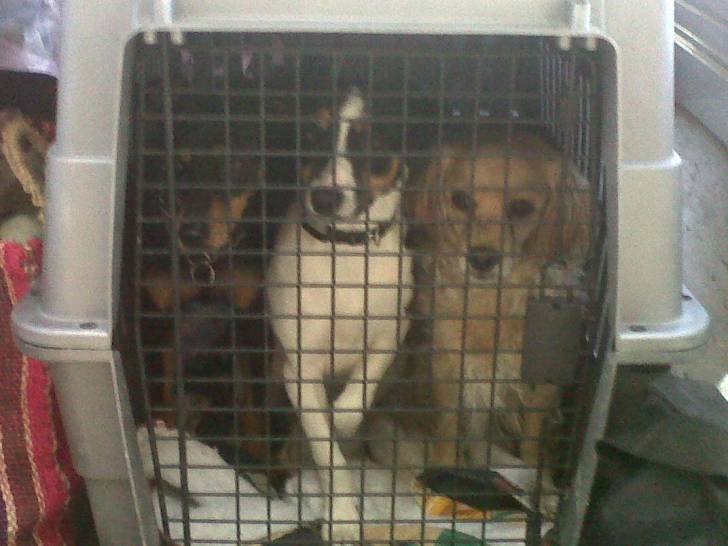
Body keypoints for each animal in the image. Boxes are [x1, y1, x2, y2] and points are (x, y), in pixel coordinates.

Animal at [267, 86, 414, 541]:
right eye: (312, 134)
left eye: (373, 143)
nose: (325, 198)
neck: (346, 253)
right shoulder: (299, 370)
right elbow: (329, 458)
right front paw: (345, 519)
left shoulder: (395, 329)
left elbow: (361, 386)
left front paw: (345, 420)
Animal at [368, 130, 591, 516]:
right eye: (461, 199)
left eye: (521, 207)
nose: (482, 259)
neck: (490, 305)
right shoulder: (447, 370)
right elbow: (446, 431)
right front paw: (442, 477)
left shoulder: (540, 384)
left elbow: (533, 444)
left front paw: (542, 489)